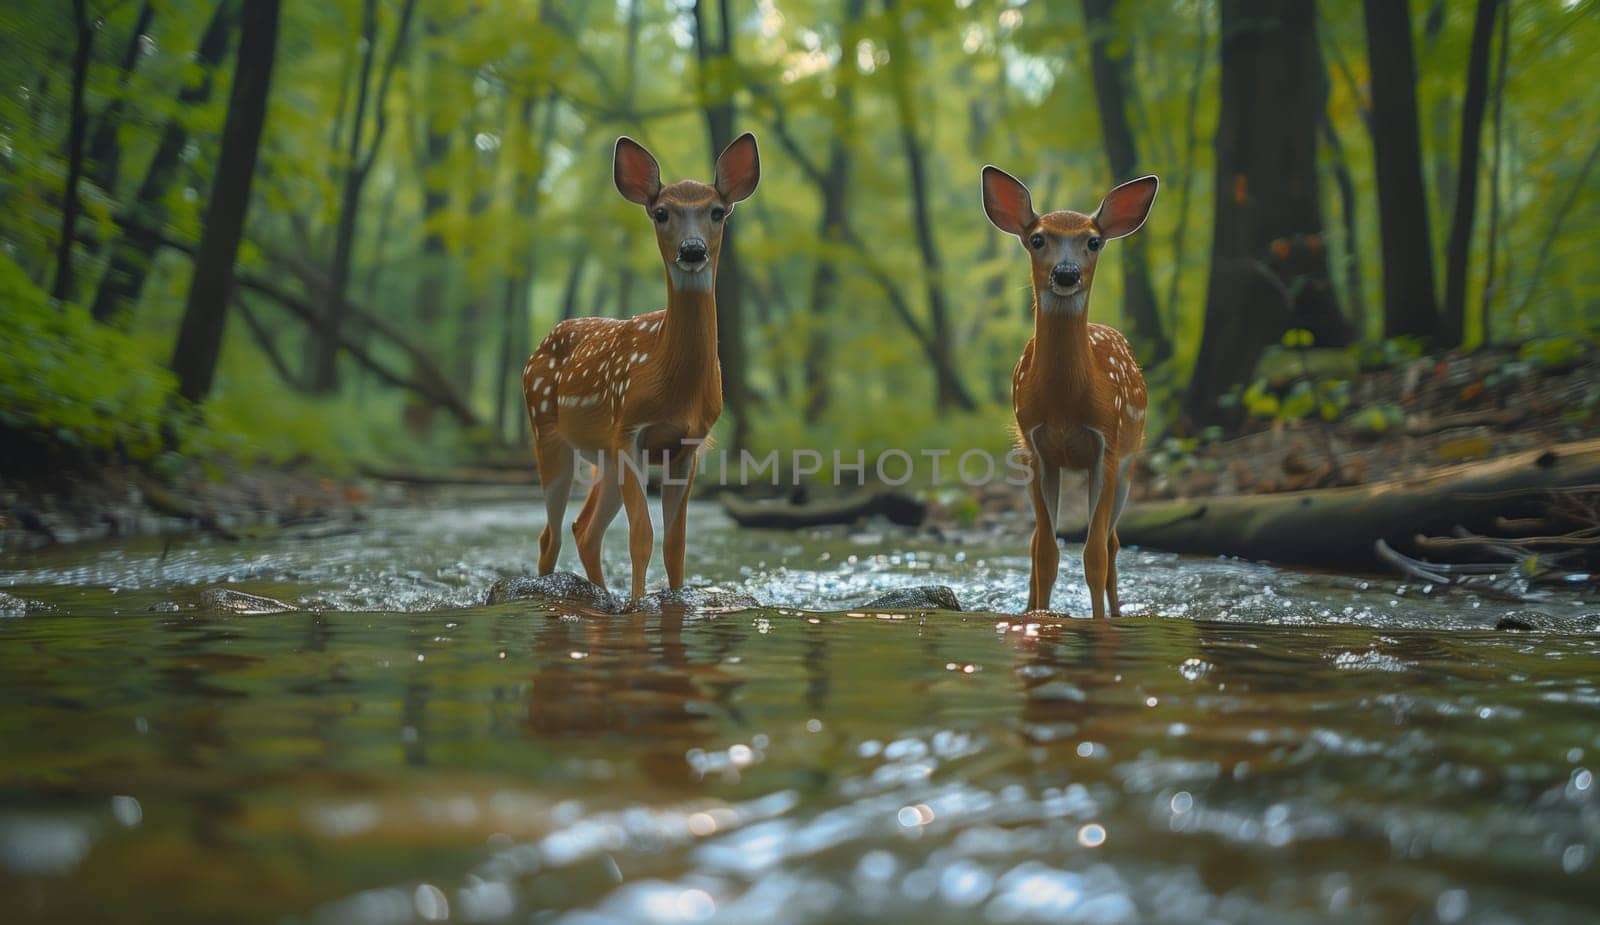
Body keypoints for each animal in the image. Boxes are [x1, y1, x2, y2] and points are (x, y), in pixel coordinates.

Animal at [518, 132, 755, 601]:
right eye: (661, 212)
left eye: (717, 211)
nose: (692, 249)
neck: (671, 380)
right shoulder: (629, 429)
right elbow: (641, 535)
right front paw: (637, 605)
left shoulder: (687, 444)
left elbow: (675, 542)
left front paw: (668, 599)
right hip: (547, 430)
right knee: (550, 534)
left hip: (604, 457)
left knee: (583, 528)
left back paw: (600, 597)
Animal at [979, 165, 1158, 614]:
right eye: (1037, 238)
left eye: (1093, 241)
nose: (1065, 273)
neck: (1065, 406)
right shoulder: (1038, 449)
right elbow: (1046, 552)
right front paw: (1041, 617)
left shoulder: (1106, 445)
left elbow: (1093, 555)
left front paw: (1099, 623)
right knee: (1034, 543)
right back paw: (1027, 610)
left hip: (1129, 462)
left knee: (1112, 542)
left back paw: (1117, 612)